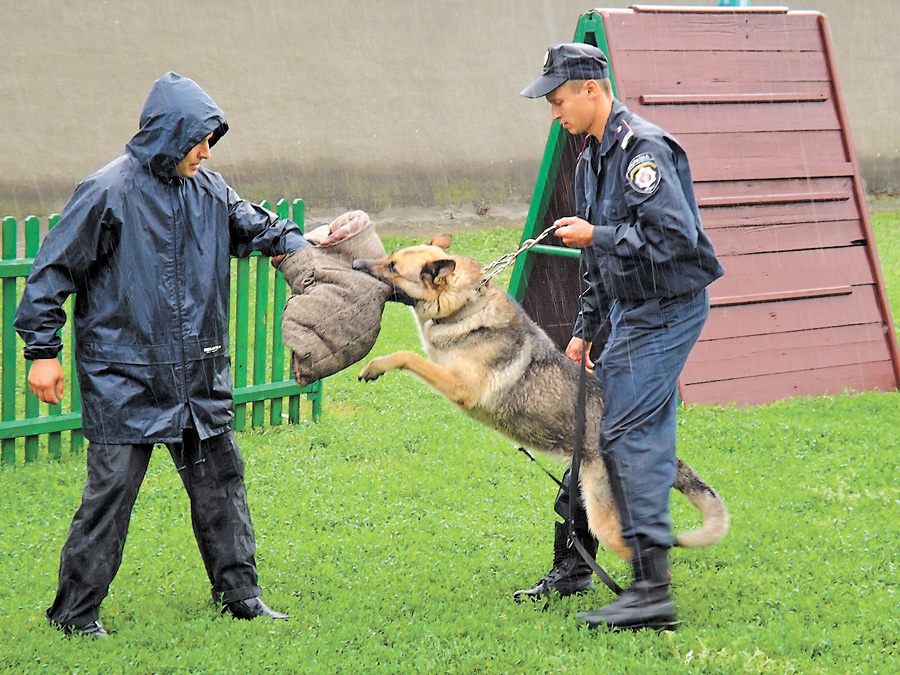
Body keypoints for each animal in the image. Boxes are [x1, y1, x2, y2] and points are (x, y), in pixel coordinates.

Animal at [356, 235, 728, 564]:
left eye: (392, 266)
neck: (465, 304)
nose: (357, 264)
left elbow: (407, 355)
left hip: (604, 516)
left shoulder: (461, 387)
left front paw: (375, 366)